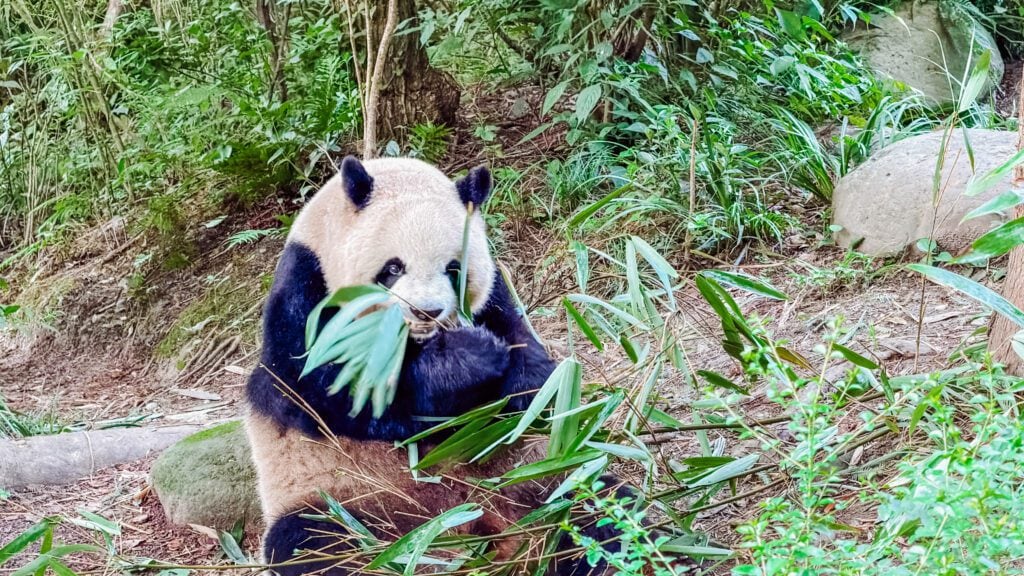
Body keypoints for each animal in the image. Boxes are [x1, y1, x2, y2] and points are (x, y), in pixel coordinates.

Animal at [245, 157, 623, 576]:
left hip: (528, 470)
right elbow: (331, 392)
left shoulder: (495, 295)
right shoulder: (304, 297)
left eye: (453, 269)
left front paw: (526, 386)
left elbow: (525, 349)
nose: (426, 312)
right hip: (345, 499)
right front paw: (471, 358)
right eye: (393, 268)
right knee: (311, 543)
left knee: (589, 498)